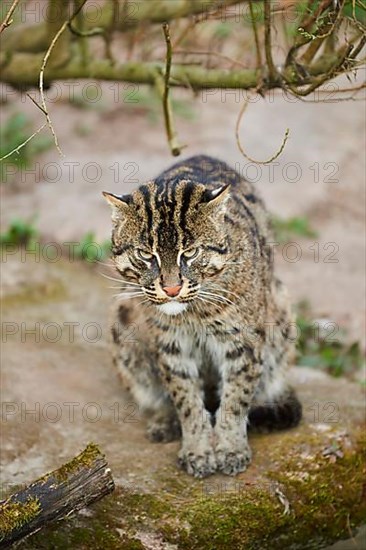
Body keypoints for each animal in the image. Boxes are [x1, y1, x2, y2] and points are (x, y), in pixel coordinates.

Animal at [102, 155, 300, 478]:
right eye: (146, 255)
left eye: (191, 253)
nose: (171, 288)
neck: (192, 314)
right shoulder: (171, 346)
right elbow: (185, 399)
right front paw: (198, 449)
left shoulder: (243, 342)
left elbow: (236, 398)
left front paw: (231, 448)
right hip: (122, 318)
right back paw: (163, 420)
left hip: (282, 312)